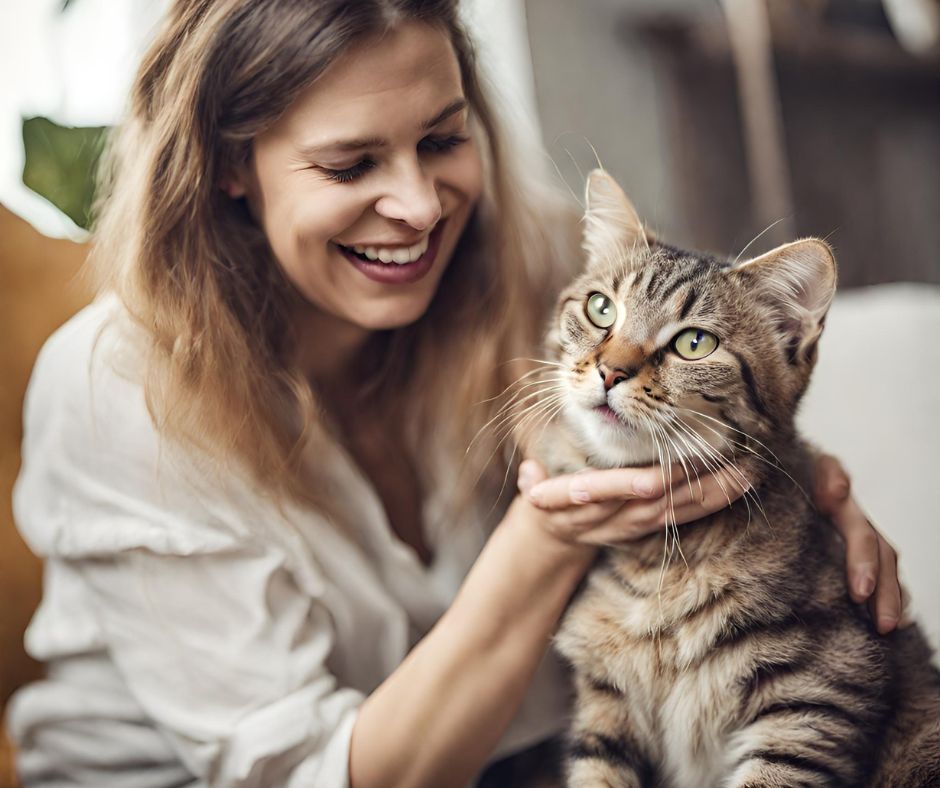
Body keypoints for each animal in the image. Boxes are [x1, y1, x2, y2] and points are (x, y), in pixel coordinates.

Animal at [520, 169, 940, 784]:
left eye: (694, 343)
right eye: (600, 309)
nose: (610, 371)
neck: (657, 564)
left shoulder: (817, 702)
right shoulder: (605, 708)